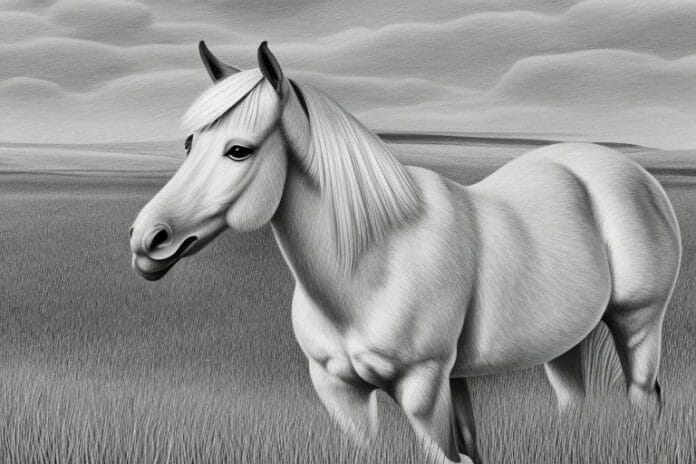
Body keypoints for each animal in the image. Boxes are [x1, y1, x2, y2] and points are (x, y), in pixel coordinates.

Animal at [129, 41, 681, 463]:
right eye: (189, 144)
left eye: (238, 150)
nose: (146, 239)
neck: (374, 261)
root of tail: (628, 170)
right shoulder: (341, 396)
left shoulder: (424, 388)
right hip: (563, 340)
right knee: (572, 401)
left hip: (638, 323)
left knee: (643, 396)